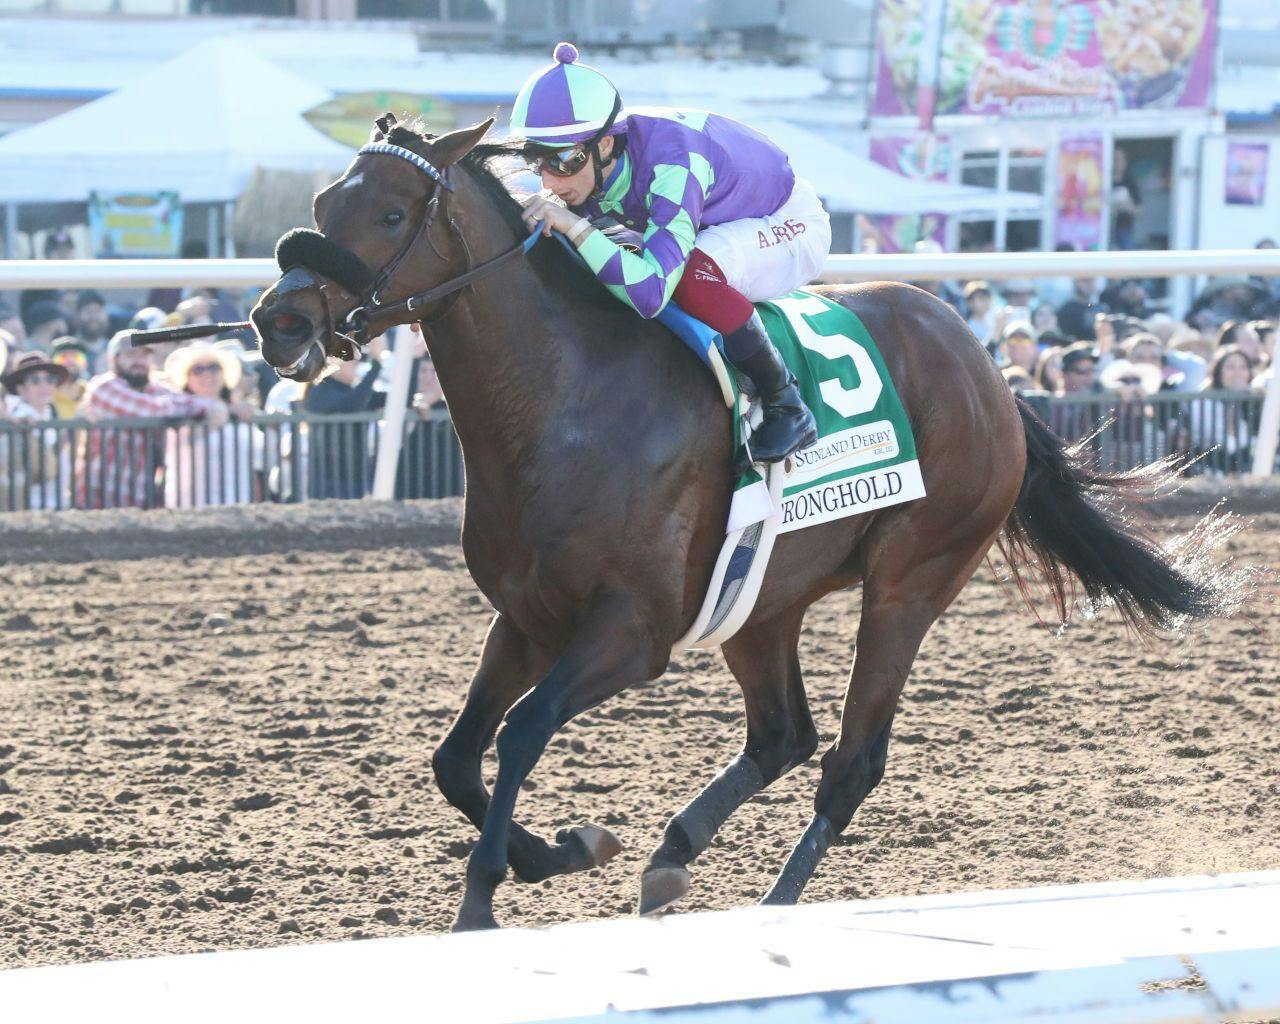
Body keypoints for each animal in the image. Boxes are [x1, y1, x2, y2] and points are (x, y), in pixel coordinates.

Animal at [247, 115, 1228, 931]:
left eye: (390, 213)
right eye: (322, 203)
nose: (277, 320)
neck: (566, 400)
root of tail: (987, 369)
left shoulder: (630, 633)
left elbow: (522, 732)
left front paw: (486, 899)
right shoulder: (527, 619)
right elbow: (454, 757)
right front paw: (558, 852)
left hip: (911, 581)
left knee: (852, 758)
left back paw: (774, 901)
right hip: (762, 598)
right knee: (784, 733)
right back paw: (672, 855)